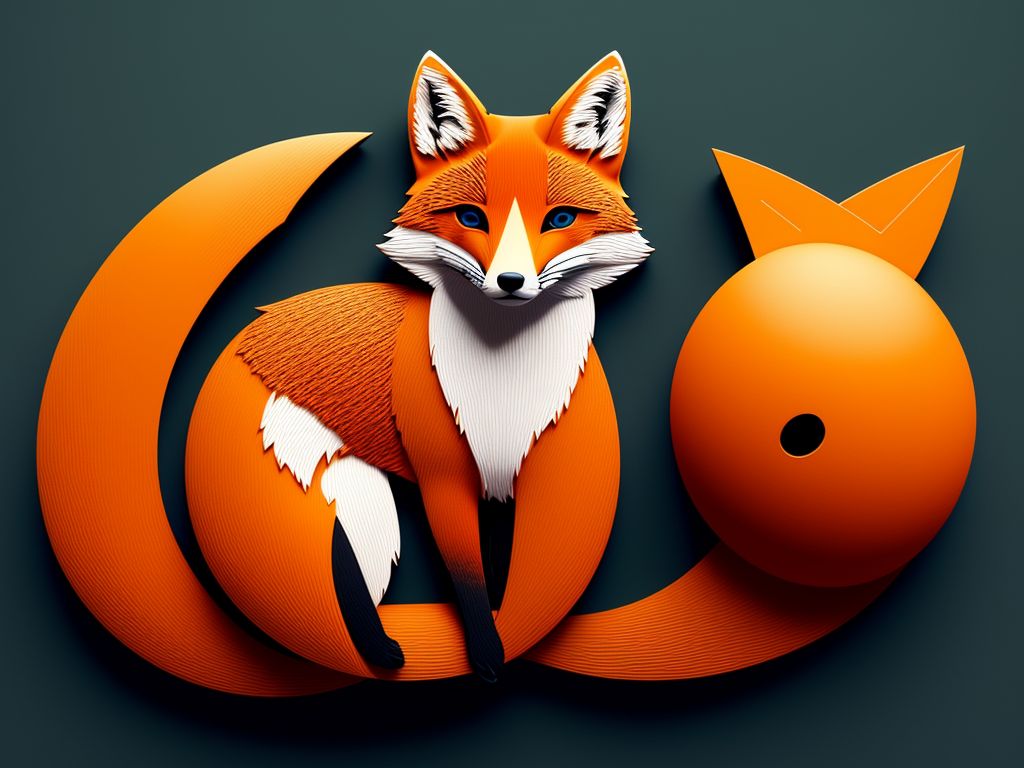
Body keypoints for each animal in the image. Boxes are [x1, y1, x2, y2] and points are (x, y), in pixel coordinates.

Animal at [186, 51, 650, 682]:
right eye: (470, 217)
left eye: (559, 220)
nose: (510, 282)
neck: (503, 380)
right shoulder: (442, 476)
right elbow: (469, 578)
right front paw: (488, 656)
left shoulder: (546, 470)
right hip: (347, 506)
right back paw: (379, 651)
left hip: (367, 514)